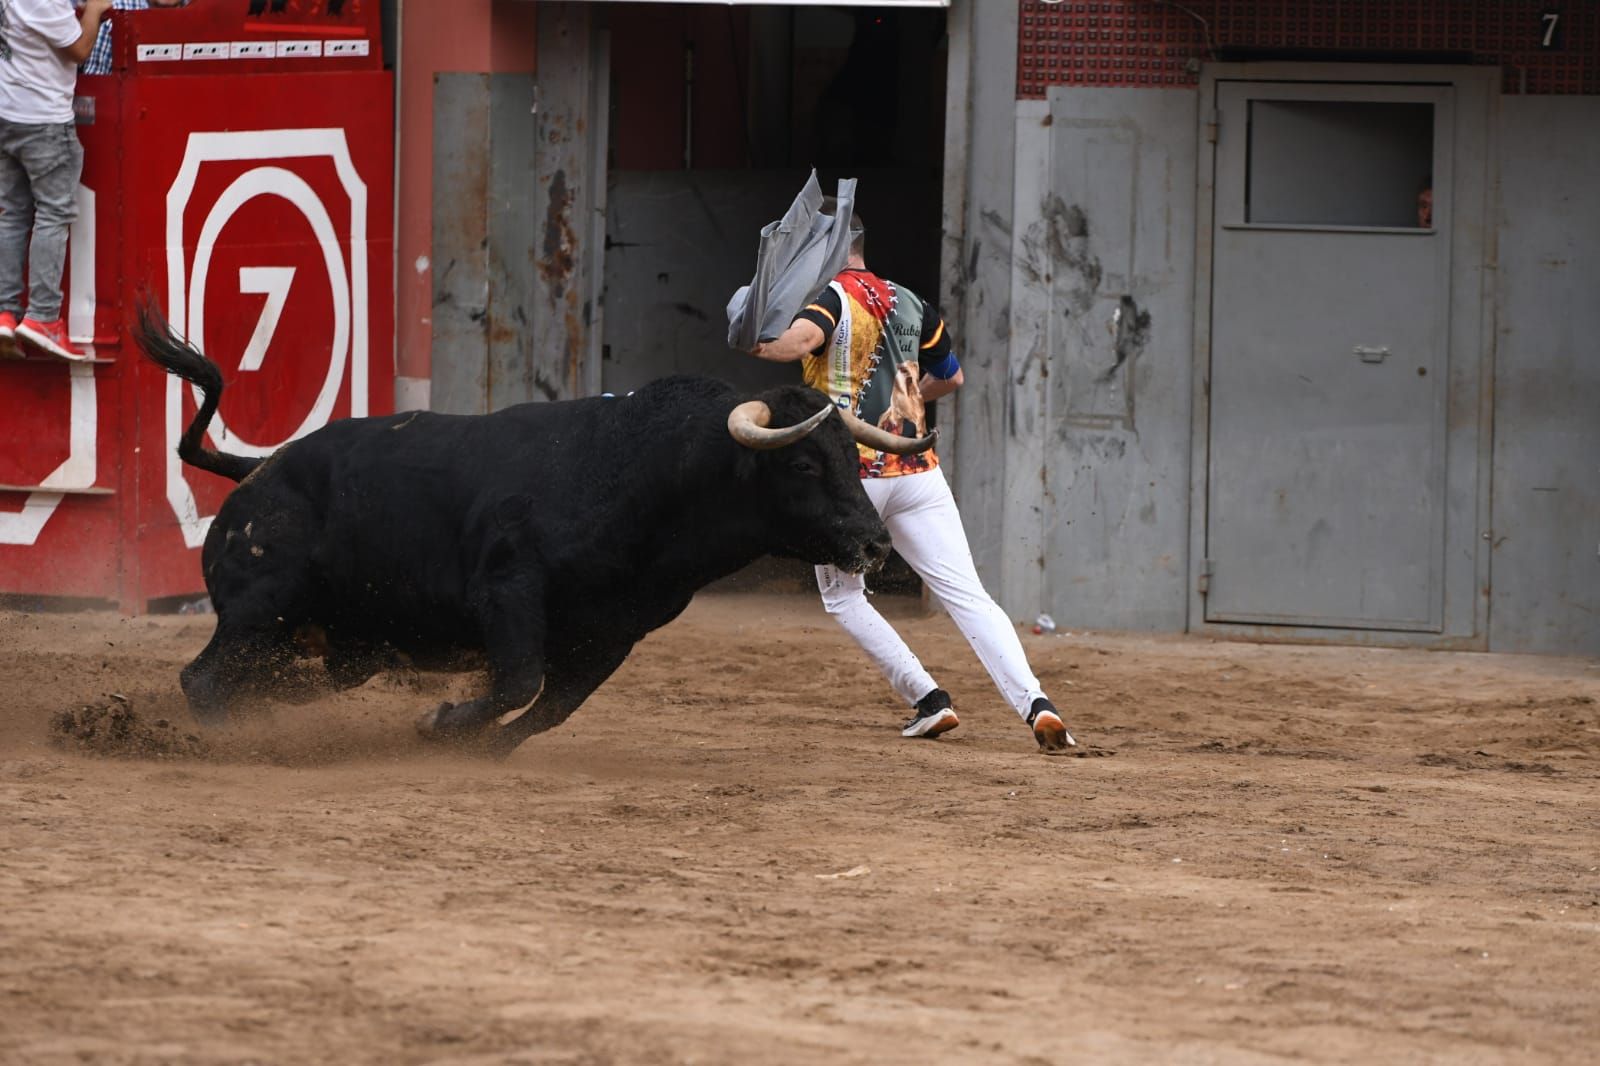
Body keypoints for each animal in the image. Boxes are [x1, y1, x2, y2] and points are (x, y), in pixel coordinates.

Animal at [137, 302, 934, 752]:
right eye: (802, 464)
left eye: (852, 459)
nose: (875, 545)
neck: (649, 478)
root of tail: (254, 471)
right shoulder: (510, 590)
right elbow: (520, 681)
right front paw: (440, 724)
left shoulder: (613, 632)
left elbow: (548, 708)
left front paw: (466, 745)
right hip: (258, 611)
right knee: (202, 679)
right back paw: (228, 743)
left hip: (335, 644)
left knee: (269, 685)